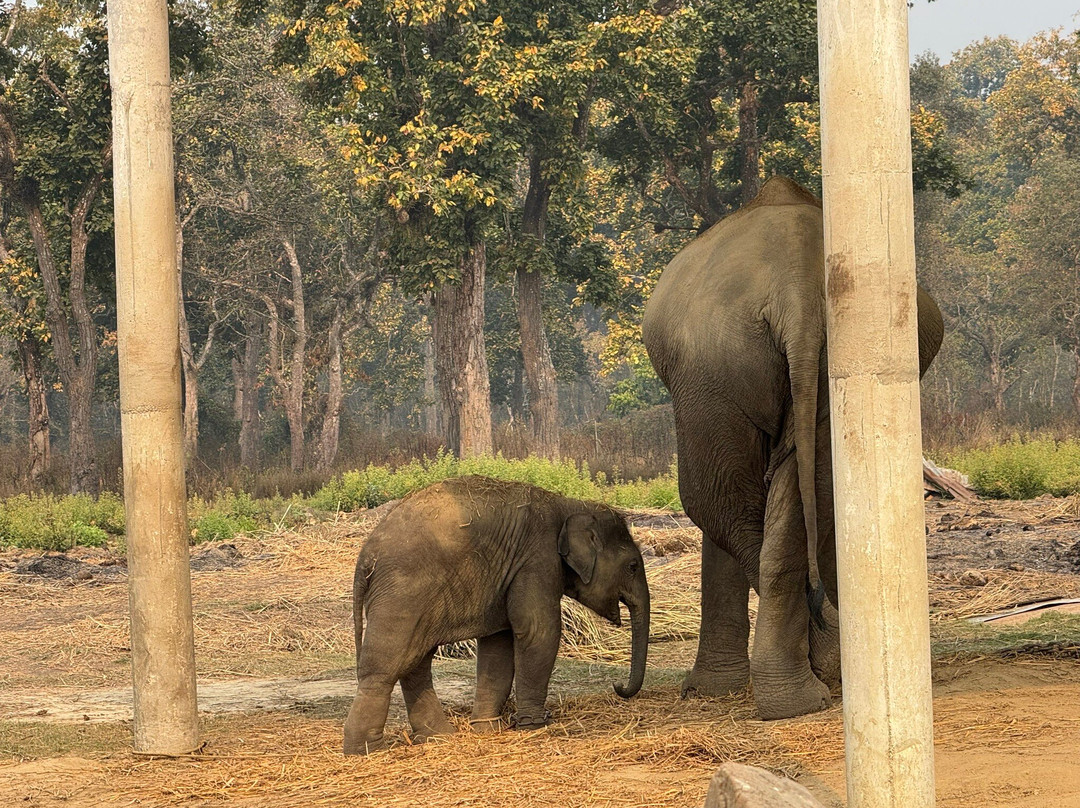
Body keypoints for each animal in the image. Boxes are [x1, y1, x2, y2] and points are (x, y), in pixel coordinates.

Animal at [342, 475, 651, 755]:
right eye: (633, 566)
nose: (617, 685)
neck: (570, 504)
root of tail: (366, 557)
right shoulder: (537, 559)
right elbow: (538, 630)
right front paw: (534, 727)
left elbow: (498, 645)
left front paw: (487, 729)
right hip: (402, 593)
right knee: (384, 667)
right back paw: (368, 751)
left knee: (414, 662)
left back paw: (438, 738)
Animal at [641, 177, 943, 720]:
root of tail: (798, 292)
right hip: (744, 367)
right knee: (791, 492)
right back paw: (810, 682)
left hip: (712, 374)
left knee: (714, 499)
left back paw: (806, 680)